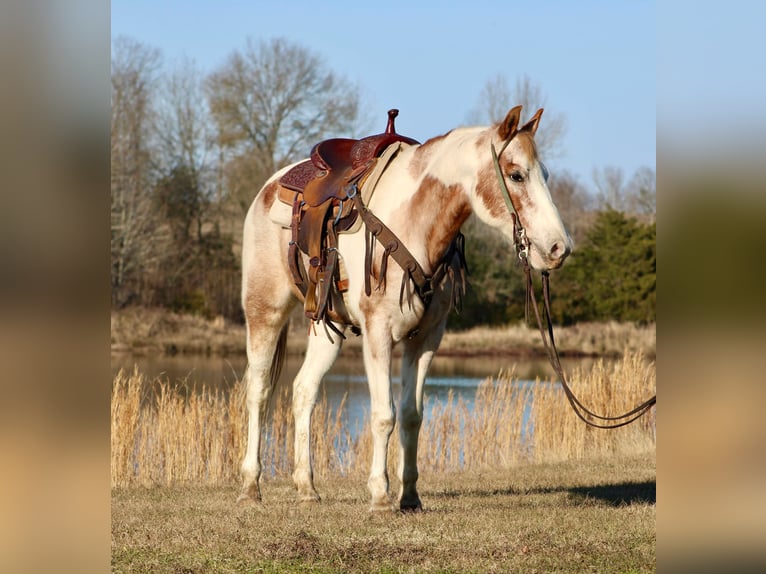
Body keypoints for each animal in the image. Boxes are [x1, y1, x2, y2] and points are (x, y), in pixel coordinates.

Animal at [238, 105, 573, 511]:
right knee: (258, 391)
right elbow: (385, 414)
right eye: (516, 174)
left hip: (326, 325)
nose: (558, 248)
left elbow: (413, 415)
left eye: (545, 174)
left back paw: (306, 488)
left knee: (304, 391)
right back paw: (250, 486)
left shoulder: (426, 337)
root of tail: (270, 188)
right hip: (264, 311)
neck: (415, 223)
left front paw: (410, 496)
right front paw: (381, 496)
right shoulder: (378, 333)